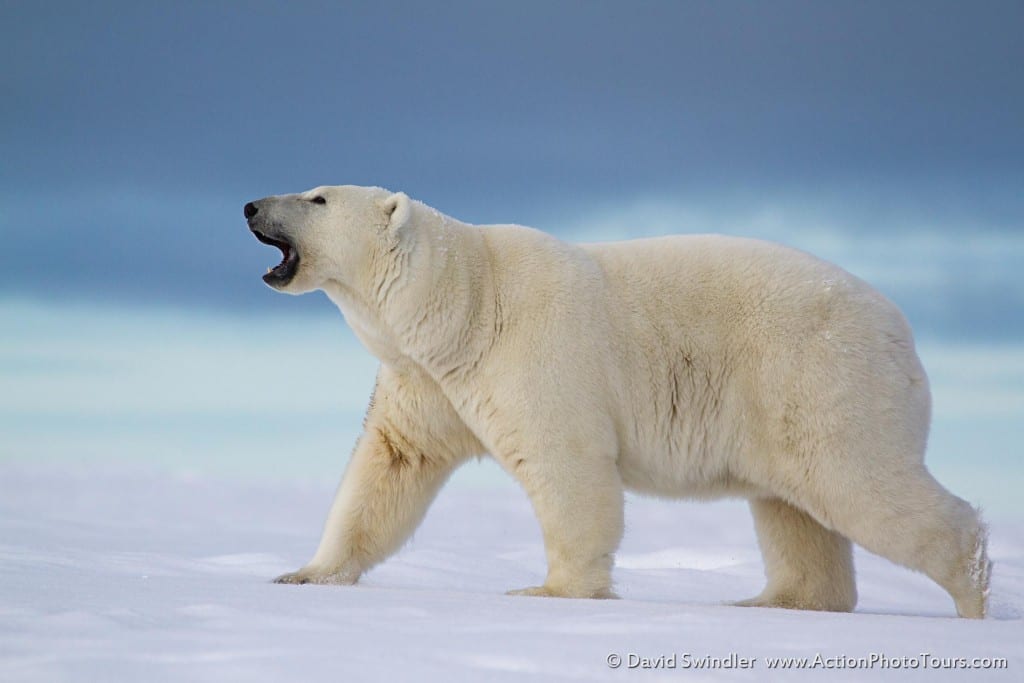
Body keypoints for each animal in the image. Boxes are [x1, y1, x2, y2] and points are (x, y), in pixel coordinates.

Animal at [243, 187, 987, 618]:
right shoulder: (427, 379)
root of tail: (902, 331)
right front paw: (305, 574)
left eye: (316, 197)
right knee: (794, 508)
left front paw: (551, 591)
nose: (250, 205)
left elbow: (567, 463)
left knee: (857, 483)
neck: (466, 305)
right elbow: (391, 466)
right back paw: (775, 600)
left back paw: (972, 590)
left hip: (821, 375)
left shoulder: (535, 351)